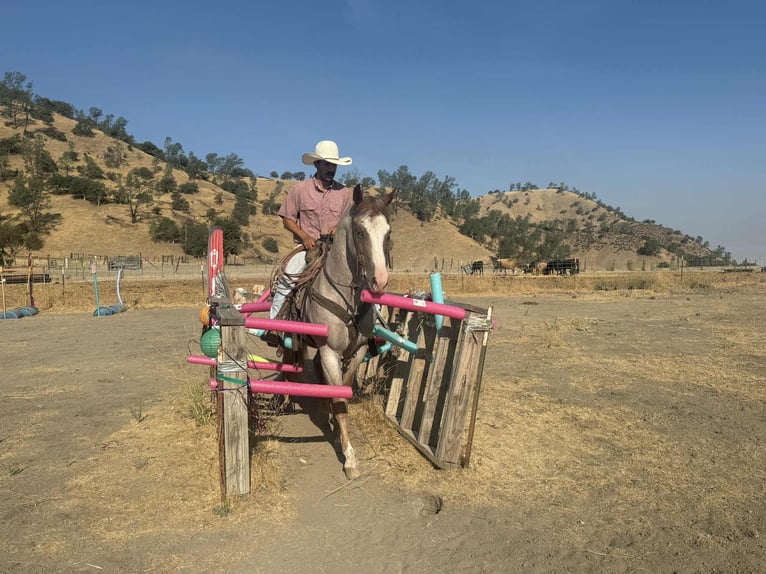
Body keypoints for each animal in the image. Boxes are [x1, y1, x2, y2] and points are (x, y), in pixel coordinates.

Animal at [300, 184, 395, 480]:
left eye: (388, 233)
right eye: (360, 232)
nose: (379, 281)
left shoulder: (359, 351)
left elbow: (345, 387)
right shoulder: (329, 351)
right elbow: (340, 401)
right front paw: (350, 459)